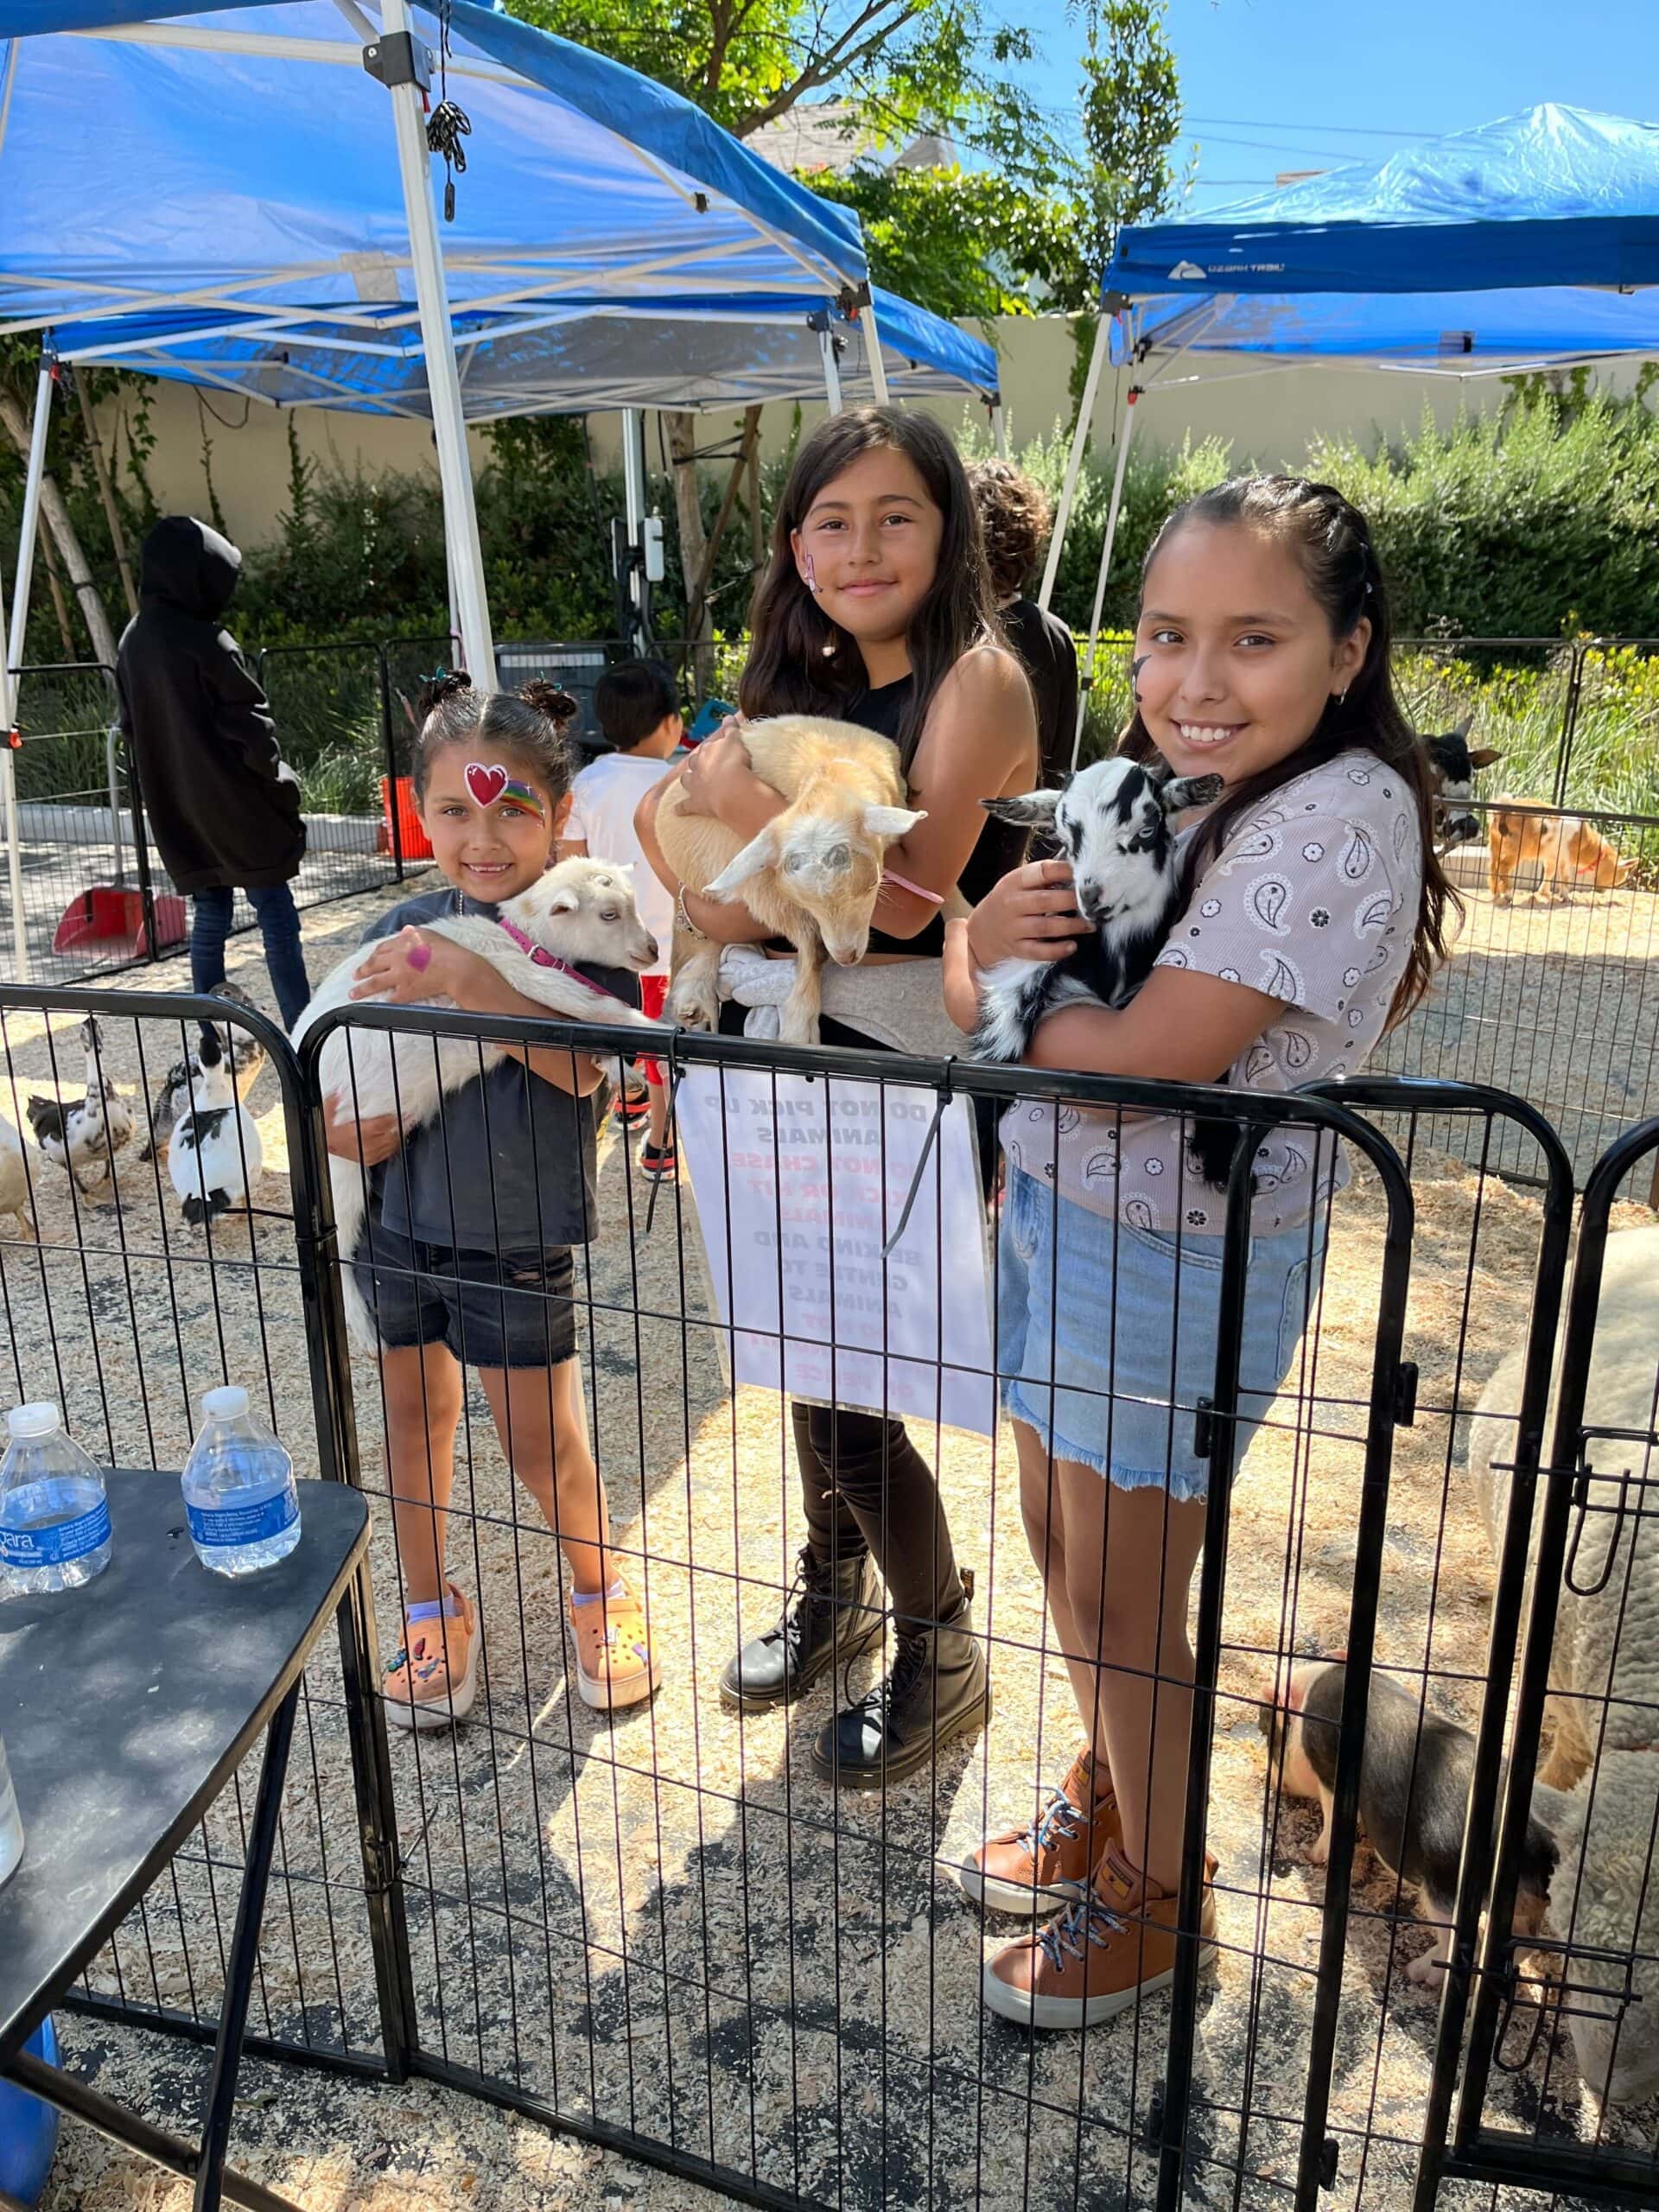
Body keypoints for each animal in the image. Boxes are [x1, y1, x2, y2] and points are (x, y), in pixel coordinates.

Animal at [291, 858, 664, 1344]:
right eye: (608, 915)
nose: (653, 950)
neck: (521, 941)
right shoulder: (525, 979)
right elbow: (593, 1005)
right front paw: (657, 1030)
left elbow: (582, 1028)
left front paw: (619, 1066)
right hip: (342, 1166)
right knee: (343, 1241)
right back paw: (364, 1329)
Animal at [650, 712, 929, 1048]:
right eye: (805, 901)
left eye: (873, 885)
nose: (847, 957)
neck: (831, 769)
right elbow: (814, 946)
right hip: (744, 869)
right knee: (804, 942)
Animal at [1256, 1663, 1557, 1991]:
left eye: (1269, 1733)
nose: (1270, 1781)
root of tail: (1534, 1841)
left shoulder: (1327, 1770)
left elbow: (1331, 1811)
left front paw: (1313, 1857)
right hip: (1523, 1901)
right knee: (1523, 1941)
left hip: (1444, 1886)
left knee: (1463, 1941)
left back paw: (1416, 1972)